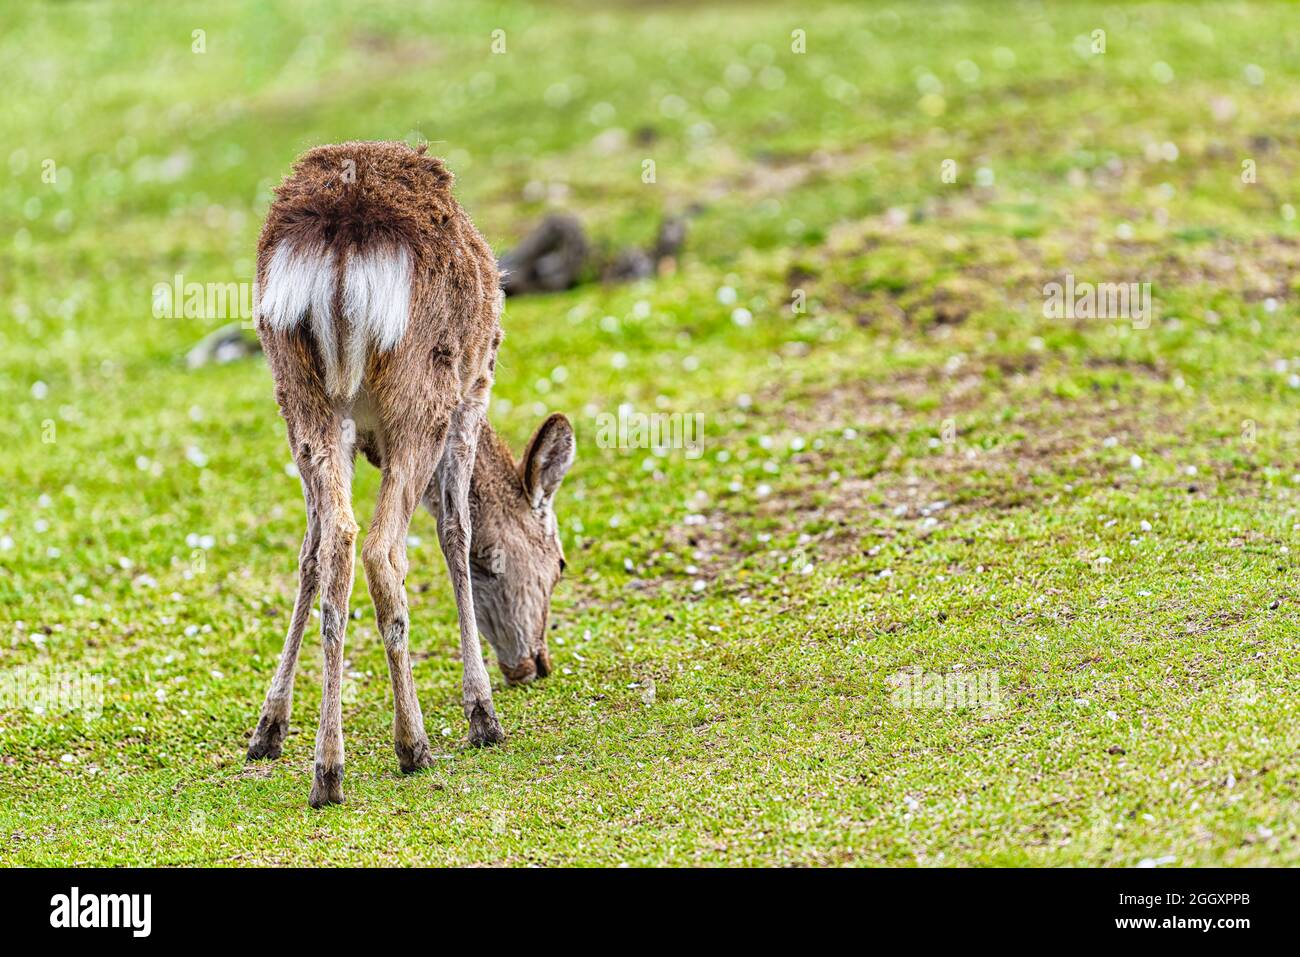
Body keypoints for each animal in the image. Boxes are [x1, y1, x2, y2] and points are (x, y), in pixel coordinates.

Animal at [243, 141, 575, 807]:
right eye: (559, 564)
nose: (535, 663)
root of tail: (342, 239)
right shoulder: (474, 392)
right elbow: (457, 533)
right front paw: (482, 713)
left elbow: (309, 553)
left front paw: (269, 728)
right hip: (425, 392)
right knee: (380, 548)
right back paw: (411, 744)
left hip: (297, 394)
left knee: (338, 541)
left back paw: (326, 767)